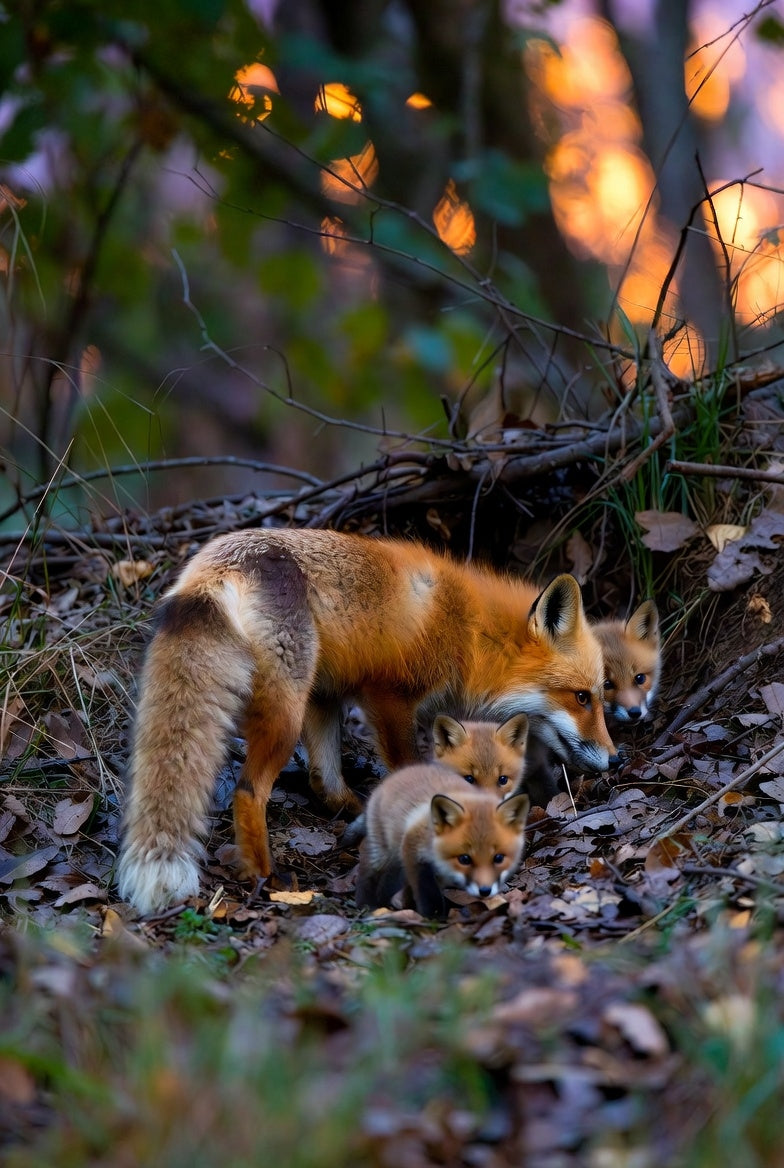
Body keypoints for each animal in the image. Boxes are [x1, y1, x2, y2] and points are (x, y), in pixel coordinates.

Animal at [356, 761, 530, 917]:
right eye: (465, 859)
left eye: (498, 858)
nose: (485, 891)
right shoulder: (414, 851)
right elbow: (426, 892)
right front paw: (433, 917)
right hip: (383, 854)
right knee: (367, 874)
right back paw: (367, 905)